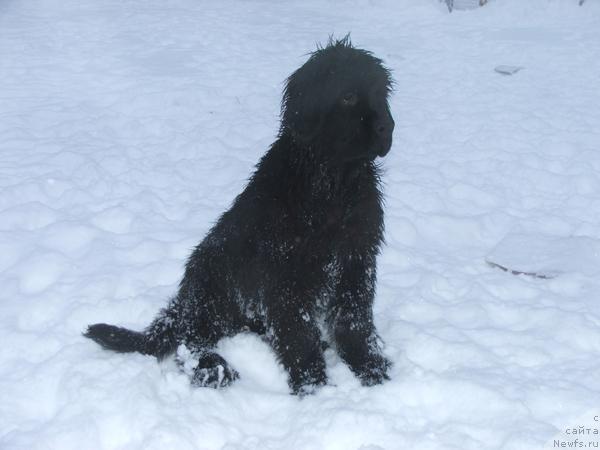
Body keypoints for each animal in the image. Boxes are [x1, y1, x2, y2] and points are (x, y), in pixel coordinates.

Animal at [83, 37, 394, 394]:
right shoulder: (284, 271)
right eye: (348, 96)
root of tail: (183, 302)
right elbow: (298, 332)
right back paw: (212, 368)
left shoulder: (356, 259)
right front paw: (313, 385)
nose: (388, 126)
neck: (333, 186)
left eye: (382, 92)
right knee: (189, 339)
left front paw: (371, 368)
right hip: (214, 280)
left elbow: (353, 320)